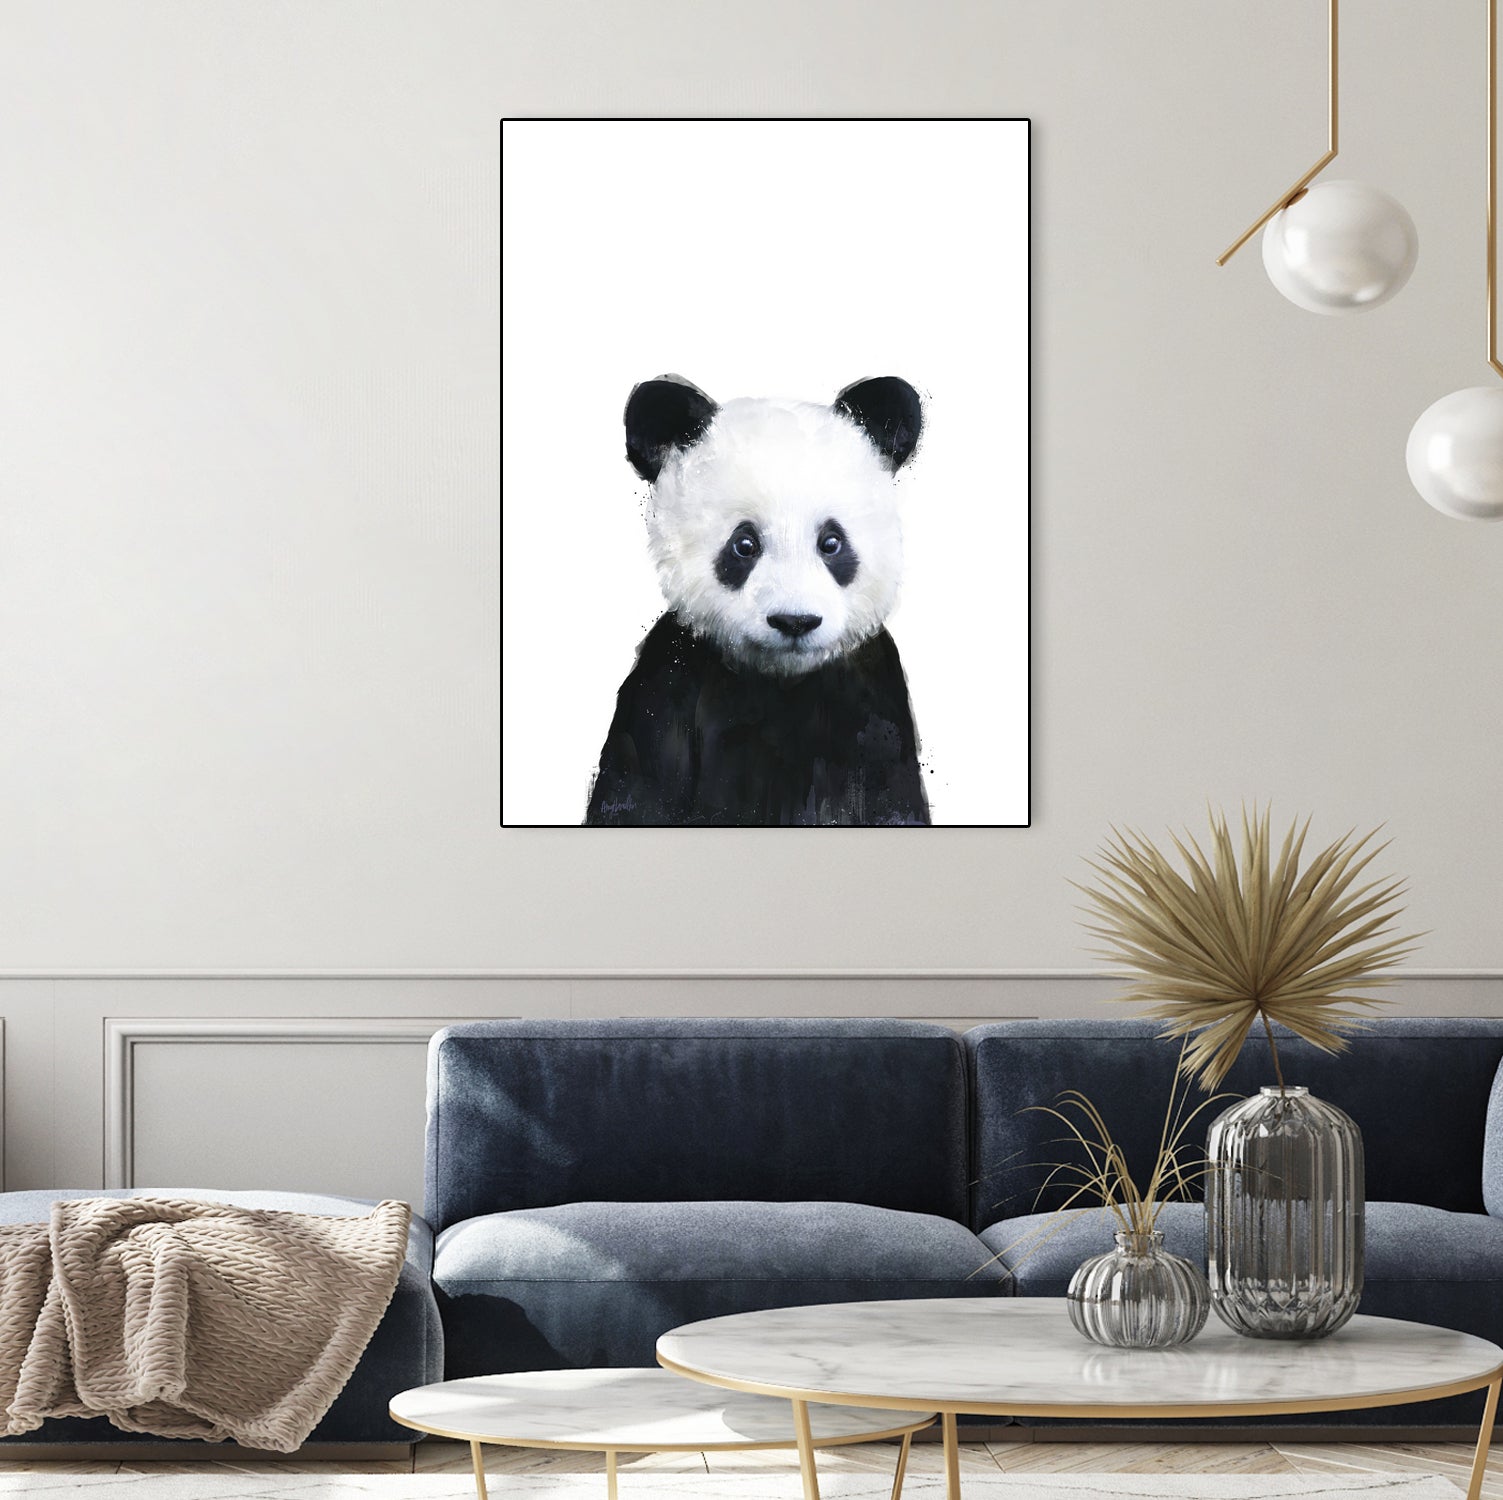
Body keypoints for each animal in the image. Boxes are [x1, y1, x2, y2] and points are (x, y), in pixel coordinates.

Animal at [585, 373, 930, 827]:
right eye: (744, 544)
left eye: (831, 542)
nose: (794, 621)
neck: (780, 680)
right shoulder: (668, 685)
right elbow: (637, 791)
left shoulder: (872, 699)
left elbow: (891, 798)